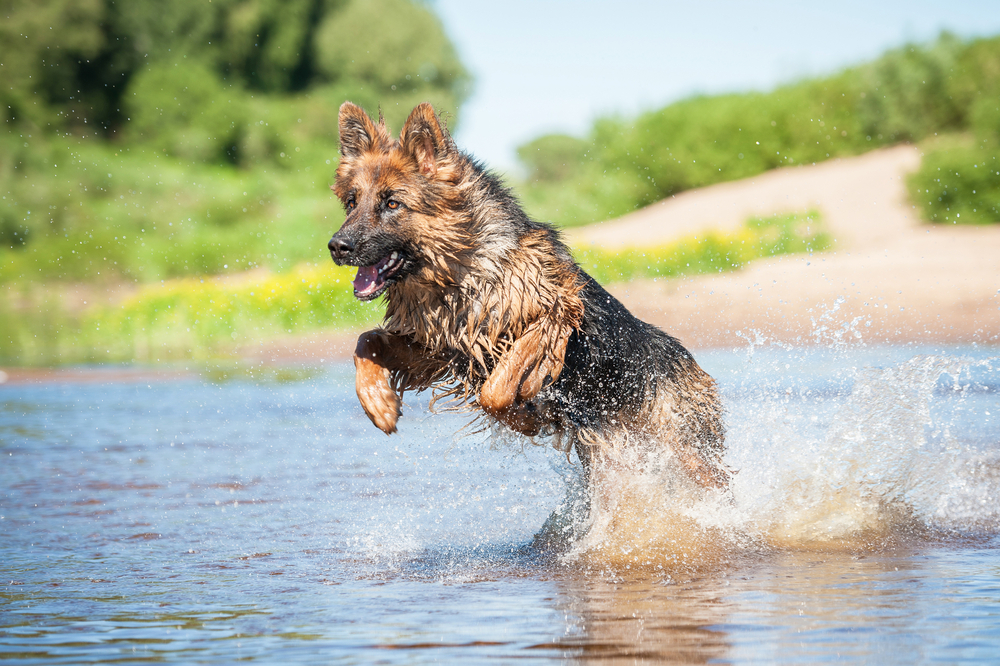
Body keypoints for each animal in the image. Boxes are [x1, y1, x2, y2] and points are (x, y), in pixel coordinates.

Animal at [328, 102, 728, 488]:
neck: (461, 272)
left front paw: (525, 415)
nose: (337, 246)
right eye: (352, 202)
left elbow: (497, 388)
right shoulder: (441, 350)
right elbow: (366, 341)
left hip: (690, 455)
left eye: (392, 203)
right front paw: (378, 402)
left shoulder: (556, 312)